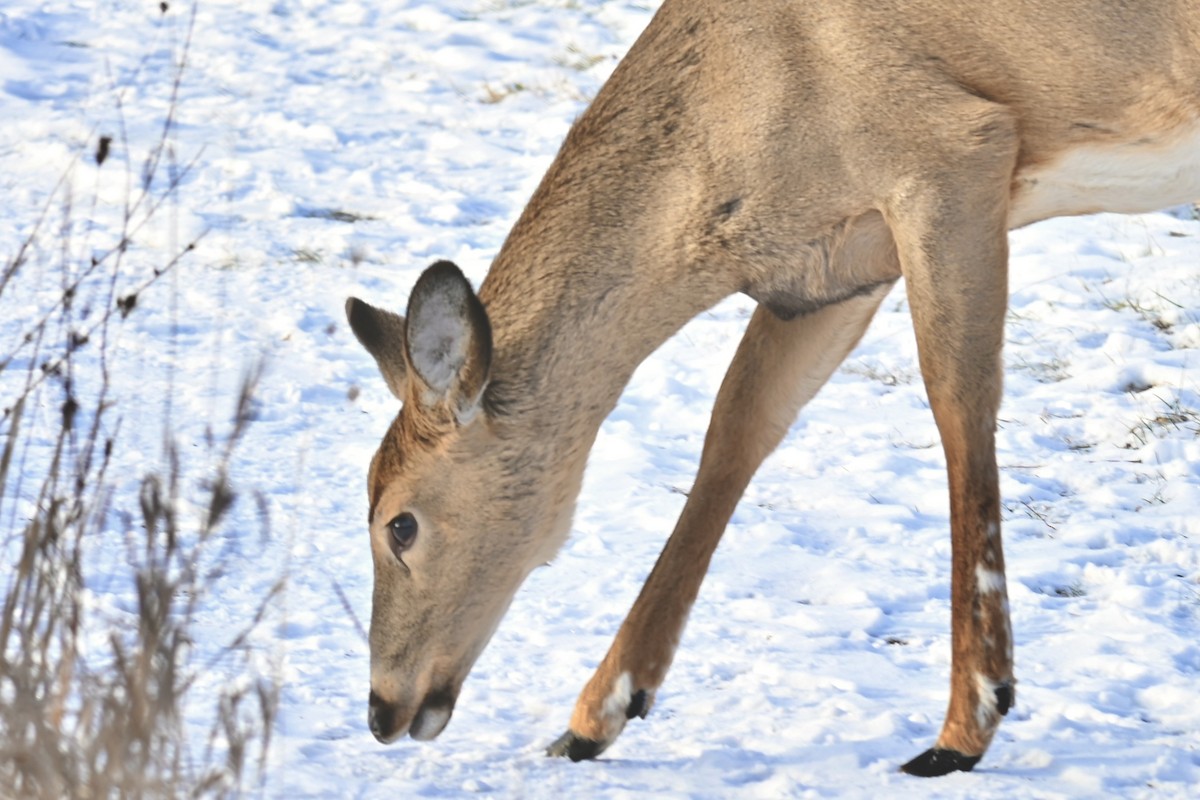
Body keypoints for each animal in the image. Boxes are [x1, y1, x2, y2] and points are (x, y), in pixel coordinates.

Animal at [344, 0, 1200, 777]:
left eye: (400, 524)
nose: (382, 710)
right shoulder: (834, 268)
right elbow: (738, 427)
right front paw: (594, 718)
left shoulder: (952, 156)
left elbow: (960, 407)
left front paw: (965, 727)